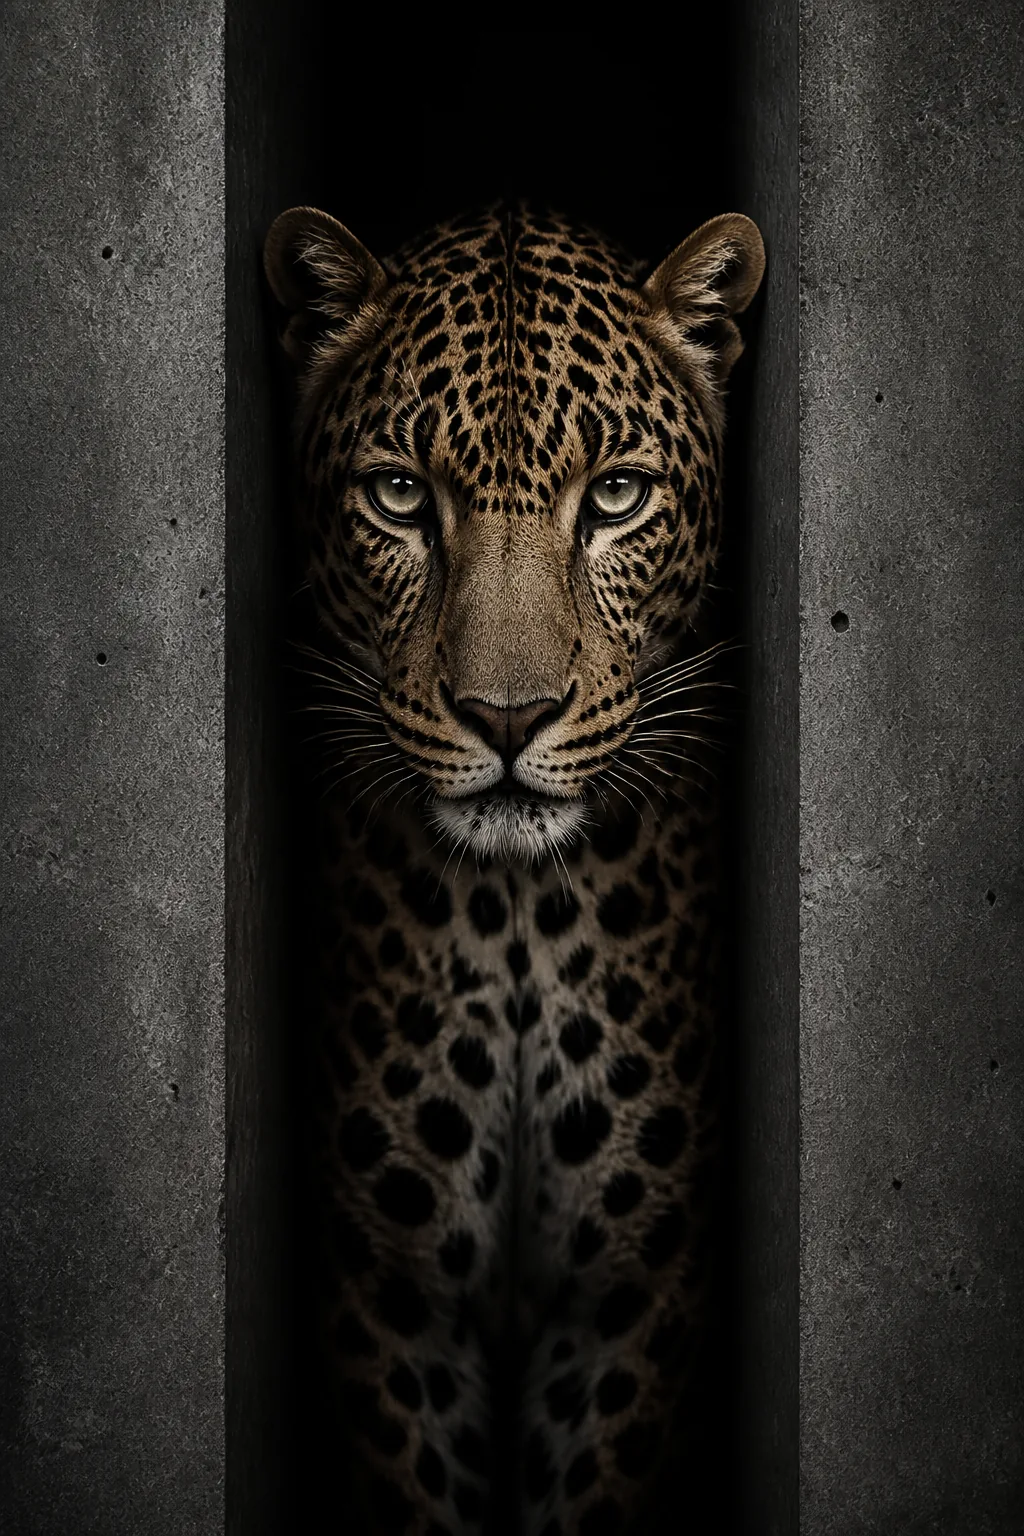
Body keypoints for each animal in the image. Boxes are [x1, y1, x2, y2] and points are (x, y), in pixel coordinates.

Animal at [265, 198, 764, 1536]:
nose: (505, 717)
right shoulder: (390, 1292)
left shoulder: (631, 1291)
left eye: (617, 497)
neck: (518, 918)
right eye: (397, 496)